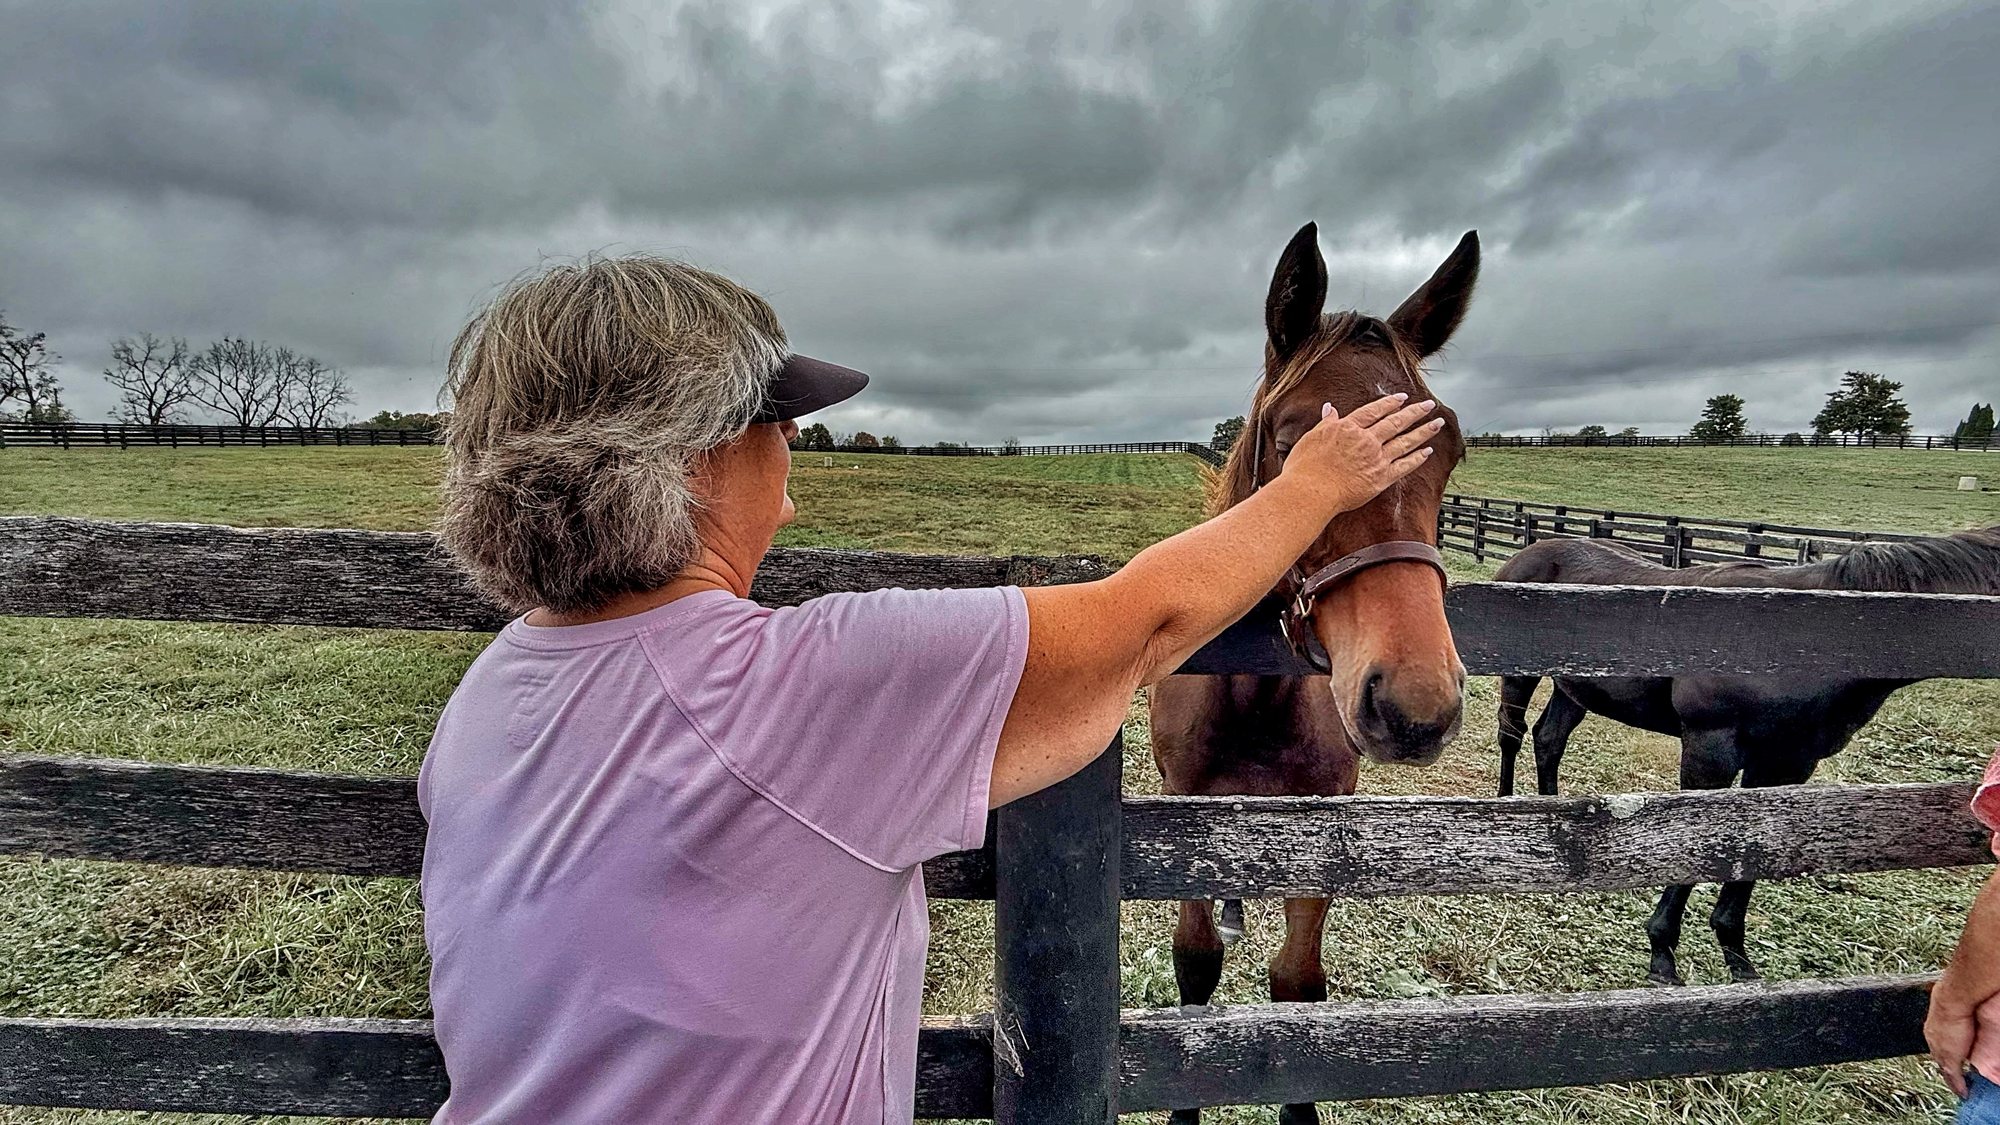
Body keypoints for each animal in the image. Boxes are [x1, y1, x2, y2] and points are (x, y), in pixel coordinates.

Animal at [1148, 222, 1477, 1125]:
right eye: (1298, 444)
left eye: (1449, 449)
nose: (1416, 703)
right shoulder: (1183, 818)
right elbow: (1195, 966)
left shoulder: (1320, 821)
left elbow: (1298, 984)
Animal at [1494, 528, 2000, 986]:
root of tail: (1534, 549)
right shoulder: (1710, 752)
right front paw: (1663, 956)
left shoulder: (1786, 764)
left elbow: (1753, 848)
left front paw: (1737, 959)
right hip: (1519, 677)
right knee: (1512, 735)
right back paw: (1506, 807)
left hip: (1574, 688)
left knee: (1549, 738)